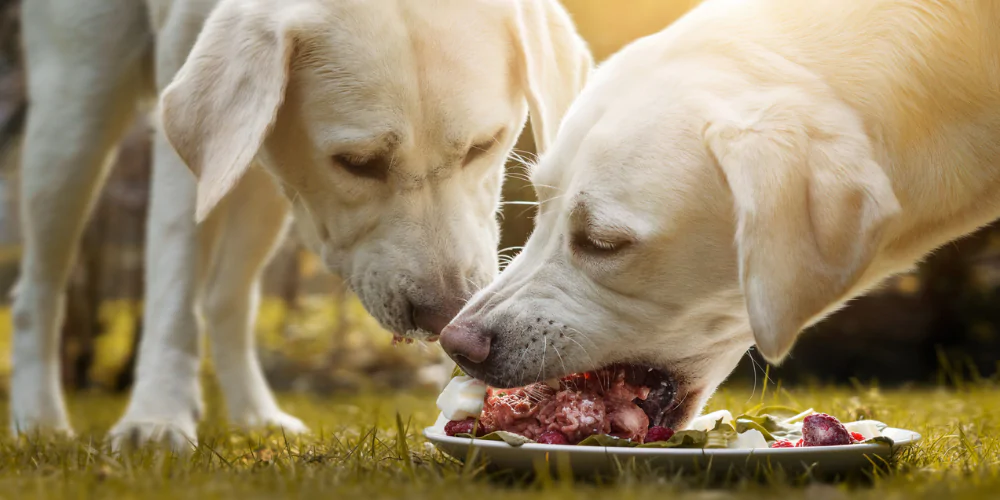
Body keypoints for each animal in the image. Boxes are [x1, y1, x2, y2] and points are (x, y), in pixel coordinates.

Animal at [11, 0, 588, 448]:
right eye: (356, 163)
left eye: (482, 146)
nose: (445, 315)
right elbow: (174, 281)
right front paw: (156, 416)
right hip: (76, 111)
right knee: (39, 287)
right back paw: (38, 418)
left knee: (225, 297)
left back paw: (255, 415)